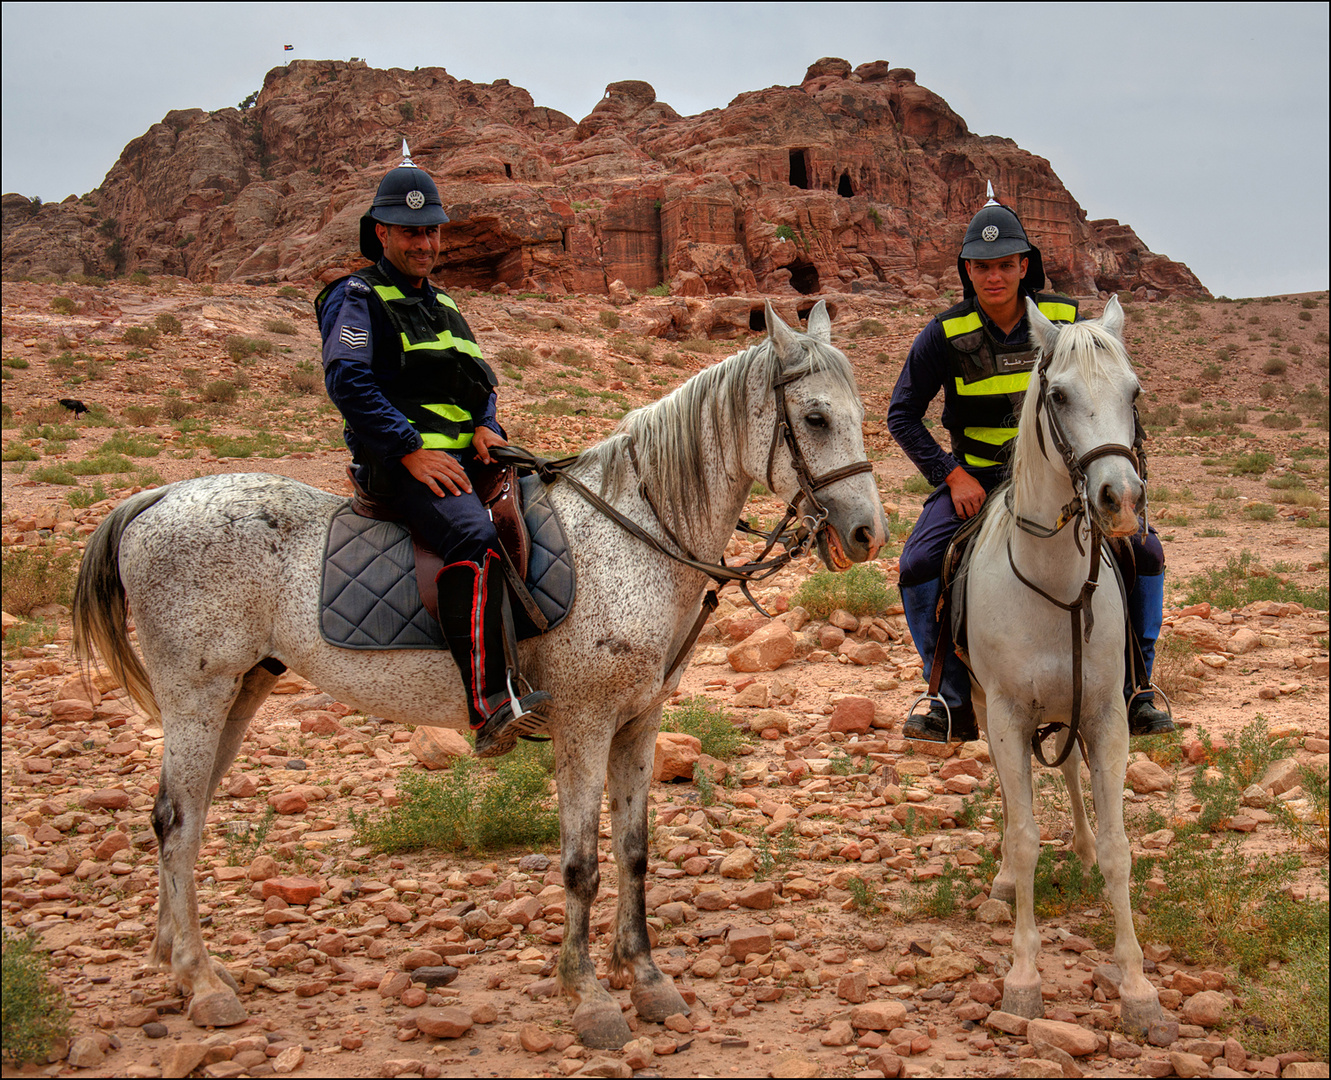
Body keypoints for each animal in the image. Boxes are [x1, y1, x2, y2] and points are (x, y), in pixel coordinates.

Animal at [70, 302, 883, 1049]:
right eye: (814, 418)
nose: (866, 535)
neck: (636, 532)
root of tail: (156, 498)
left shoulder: (639, 722)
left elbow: (634, 852)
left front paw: (648, 980)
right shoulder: (585, 725)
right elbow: (581, 864)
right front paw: (588, 996)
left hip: (243, 688)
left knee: (189, 817)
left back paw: (177, 962)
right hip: (196, 693)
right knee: (175, 818)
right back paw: (201, 982)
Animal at [963, 295, 1160, 1028]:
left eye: (1134, 392)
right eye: (1058, 395)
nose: (1120, 500)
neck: (1054, 583)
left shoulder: (1105, 716)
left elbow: (1119, 847)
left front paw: (1136, 986)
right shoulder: (1006, 715)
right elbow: (1023, 834)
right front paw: (1022, 977)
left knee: (1069, 773)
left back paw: (1076, 846)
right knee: (1007, 793)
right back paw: (1001, 878)